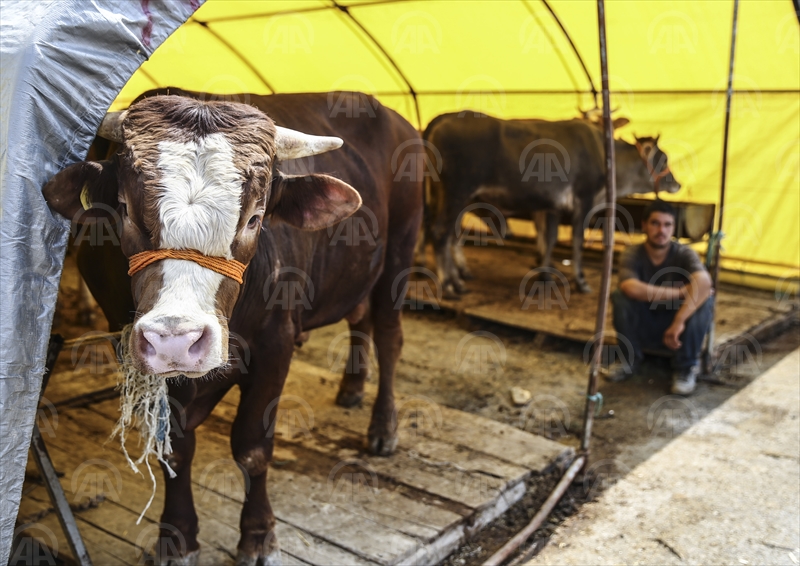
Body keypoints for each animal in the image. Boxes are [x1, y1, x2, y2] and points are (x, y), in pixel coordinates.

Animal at [42, 91, 424, 564]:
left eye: (256, 217)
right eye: (125, 211)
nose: (176, 339)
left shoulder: (275, 346)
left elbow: (252, 448)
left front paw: (258, 535)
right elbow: (177, 452)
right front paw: (178, 536)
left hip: (400, 253)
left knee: (389, 336)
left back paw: (383, 428)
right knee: (361, 320)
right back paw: (351, 388)